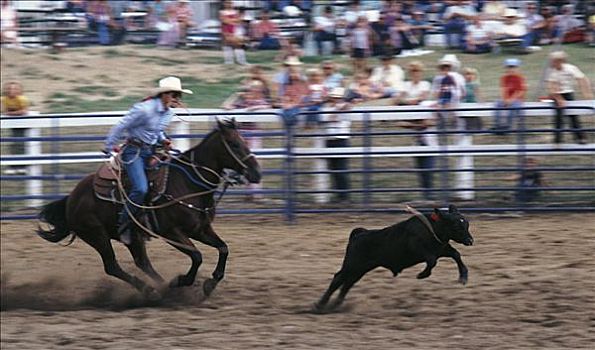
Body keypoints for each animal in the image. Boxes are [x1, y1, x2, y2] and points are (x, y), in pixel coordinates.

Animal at [36, 119, 260, 300]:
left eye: (243, 140)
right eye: (234, 144)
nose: (256, 172)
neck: (188, 184)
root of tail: (72, 197)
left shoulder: (200, 229)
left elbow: (223, 248)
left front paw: (210, 283)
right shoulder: (171, 232)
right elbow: (197, 256)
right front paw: (181, 281)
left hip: (132, 237)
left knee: (142, 262)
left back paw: (161, 288)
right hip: (97, 235)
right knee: (112, 266)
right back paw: (152, 290)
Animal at [316, 205, 474, 312]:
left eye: (466, 223)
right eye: (457, 225)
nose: (470, 240)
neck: (433, 228)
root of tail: (359, 234)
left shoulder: (442, 249)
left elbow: (456, 255)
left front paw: (463, 277)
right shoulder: (419, 250)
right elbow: (432, 261)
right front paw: (422, 275)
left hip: (360, 269)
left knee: (347, 284)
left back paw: (336, 305)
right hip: (351, 265)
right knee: (338, 279)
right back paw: (319, 306)